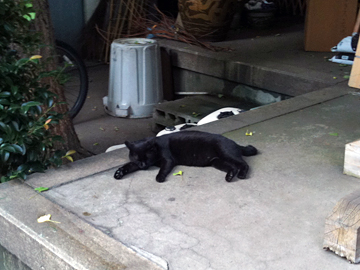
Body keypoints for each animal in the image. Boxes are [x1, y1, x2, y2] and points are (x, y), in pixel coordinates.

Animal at [114, 130, 258, 182]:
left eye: (147, 157)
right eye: (137, 158)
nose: (143, 165)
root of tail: (234, 142)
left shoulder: (168, 160)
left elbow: (163, 169)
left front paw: (159, 177)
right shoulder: (135, 164)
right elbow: (128, 165)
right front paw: (119, 173)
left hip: (225, 153)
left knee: (244, 164)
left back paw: (241, 175)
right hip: (217, 162)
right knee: (233, 168)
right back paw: (229, 176)